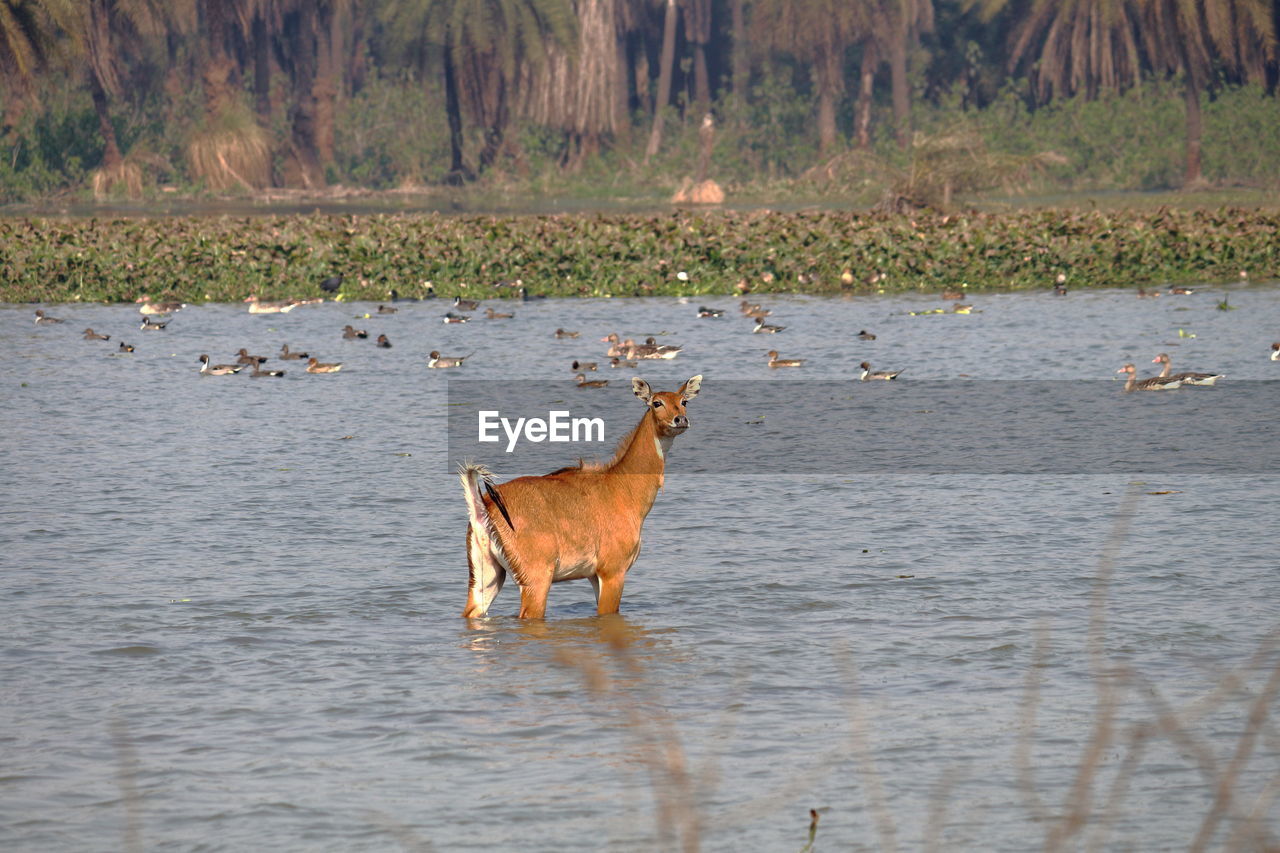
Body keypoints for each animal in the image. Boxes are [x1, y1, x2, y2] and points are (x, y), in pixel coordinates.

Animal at [458, 376, 706, 614]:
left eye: (684, 401)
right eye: (657, 403)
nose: (680, 420)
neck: (623, 486)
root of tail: (484, 505)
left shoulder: (592, 575)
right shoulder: (612, 570)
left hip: (488, 577)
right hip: (536, 579)